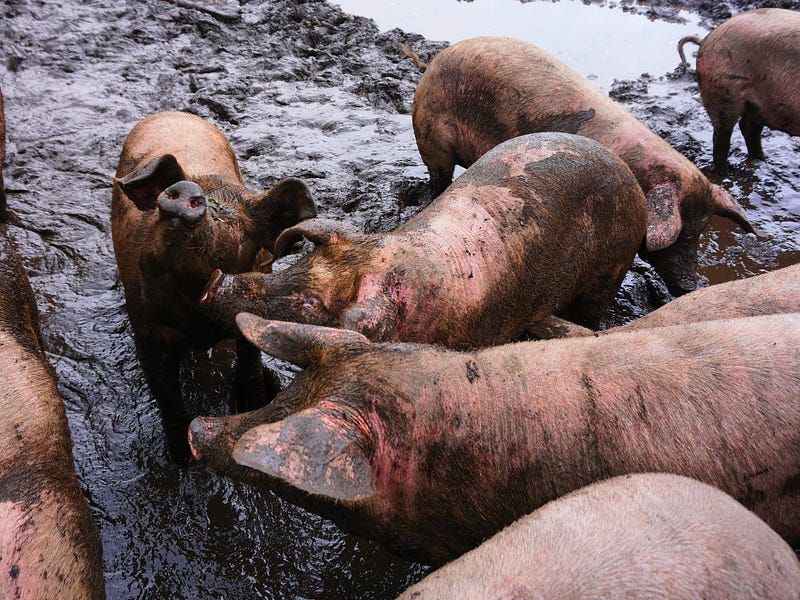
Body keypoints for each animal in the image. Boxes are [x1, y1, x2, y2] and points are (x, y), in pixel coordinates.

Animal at [112, 111, 316, 460]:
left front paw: (249, 404)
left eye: (233, 222)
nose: (184, 189)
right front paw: (182, 459)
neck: (199, 321)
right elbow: (167, 397)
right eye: (158, 208)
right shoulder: (148, 331)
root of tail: (171, 112)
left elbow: (249, 361)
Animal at [400, 36, 754, 295]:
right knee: (438, 177)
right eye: (684, 235)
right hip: (430, 135)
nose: (693, 286)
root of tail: (433, 62)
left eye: (702, 231)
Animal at [678, 9, 800, 171]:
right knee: (722, 136)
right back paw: (725, 170)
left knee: (749, 128)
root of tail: (706, 39)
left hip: (755, 104)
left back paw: (762, 160)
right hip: (722, 93)